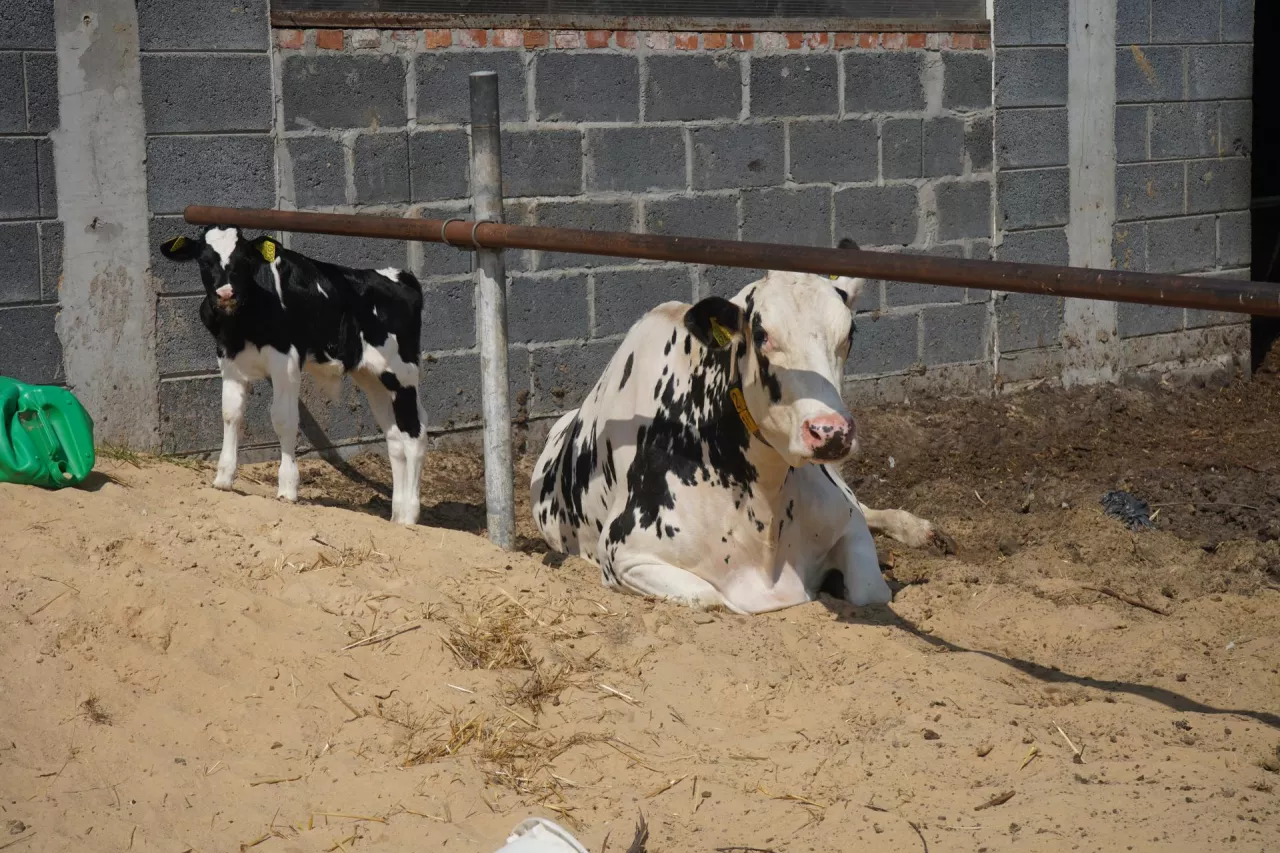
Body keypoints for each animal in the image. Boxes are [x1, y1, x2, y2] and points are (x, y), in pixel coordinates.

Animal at [160, 222, 427, 522]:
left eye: (244, 260)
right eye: (204, 261)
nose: (226, 293)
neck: (243, 323)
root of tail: (400, 276)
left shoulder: (286, 361)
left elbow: (283, 419)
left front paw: (287, 488)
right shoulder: (229, 361)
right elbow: (231, 414)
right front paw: (223, 478)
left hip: (402, 374)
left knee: (415, 434)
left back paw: (410, 516)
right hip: (374, 379)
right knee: (395, 438)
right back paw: (397, 517)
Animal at [524, 240, 957, 612]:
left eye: (850, 332)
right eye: (762, 334)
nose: (831, 432)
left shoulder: (845, 521)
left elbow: (870, 589)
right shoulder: (625, 552)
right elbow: (714, 598)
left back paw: (921, 530)